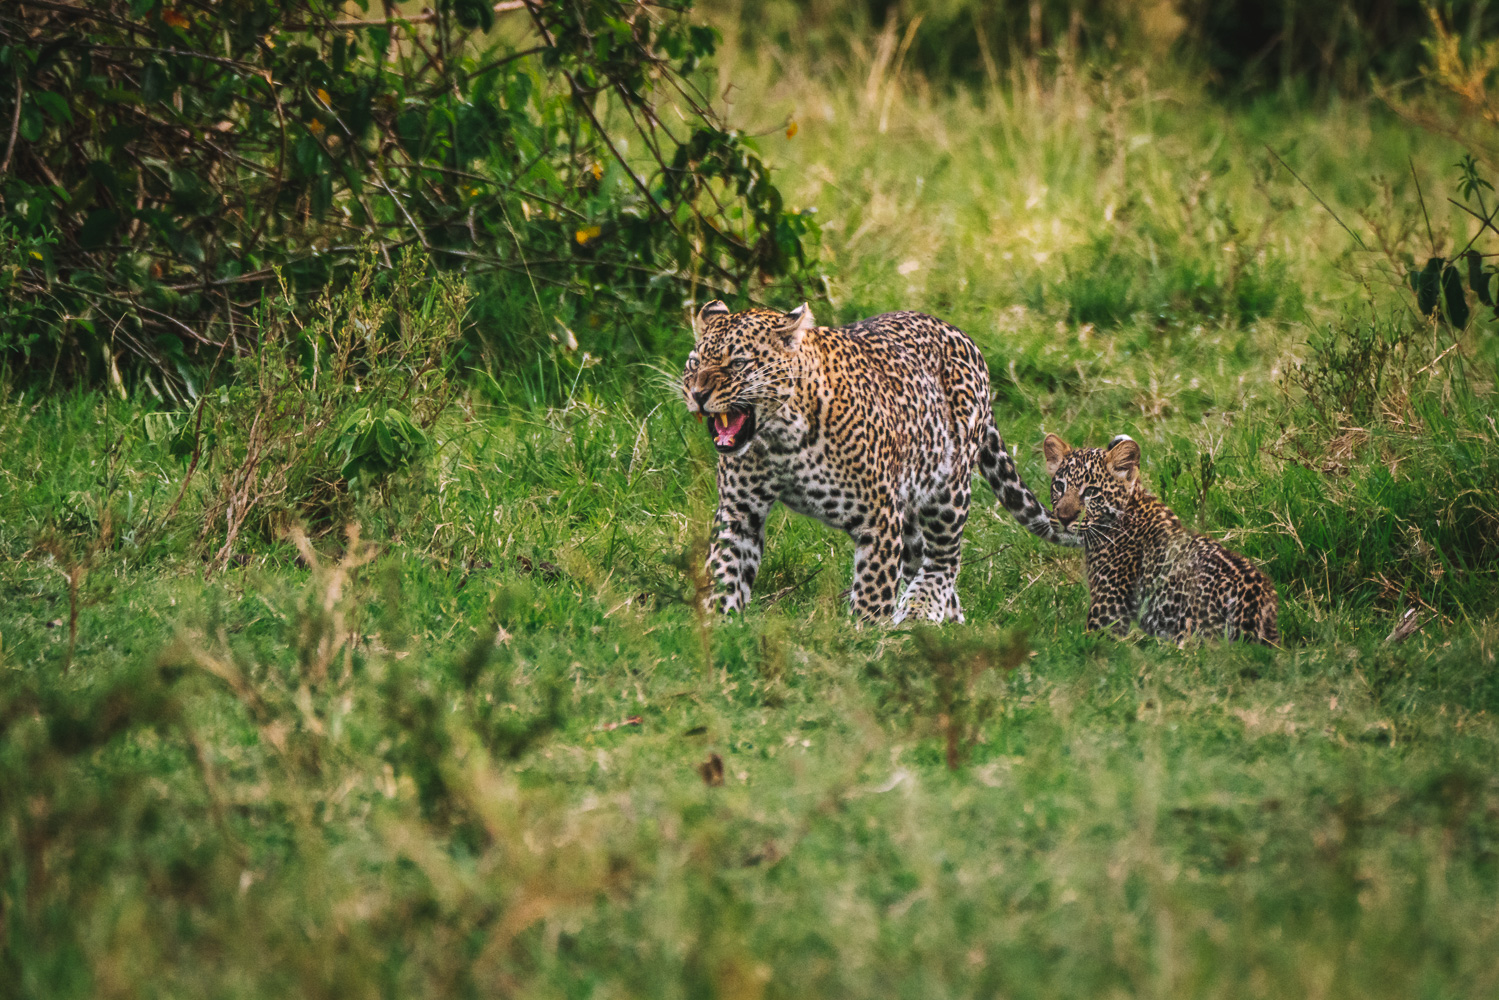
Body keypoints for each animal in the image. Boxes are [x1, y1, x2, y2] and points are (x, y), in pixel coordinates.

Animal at [680, 301, 1067, 620]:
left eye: (738, 363)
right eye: (694, 363)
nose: (697, 394)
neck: (780, 440)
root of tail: (965, 338)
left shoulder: (878, 518)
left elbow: (873, 590)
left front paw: (863, 637)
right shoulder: (739, 512)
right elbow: (725, 570)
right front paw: (718, 624)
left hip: (948, 491)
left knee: (944, 561)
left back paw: (916, 611)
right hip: (909, 504)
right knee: (924, 566)